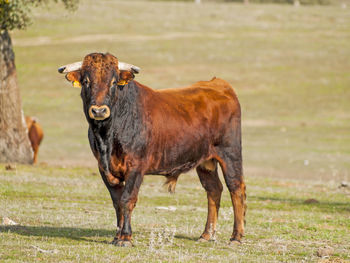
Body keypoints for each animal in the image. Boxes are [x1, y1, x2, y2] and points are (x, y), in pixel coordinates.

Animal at [58, 53, 246, 248]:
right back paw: (206, 234)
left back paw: (236, 236)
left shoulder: (135, 167)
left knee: (236, 188)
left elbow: (127, 199)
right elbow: (117, 202)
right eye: (86, 81)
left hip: (230, 154)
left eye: (113, 82)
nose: (99, 111)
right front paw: (117, 236)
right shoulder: (104, 168)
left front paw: (125, 237)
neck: (107, 134)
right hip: (205, 161)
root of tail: (218, 84)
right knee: (213, 189)